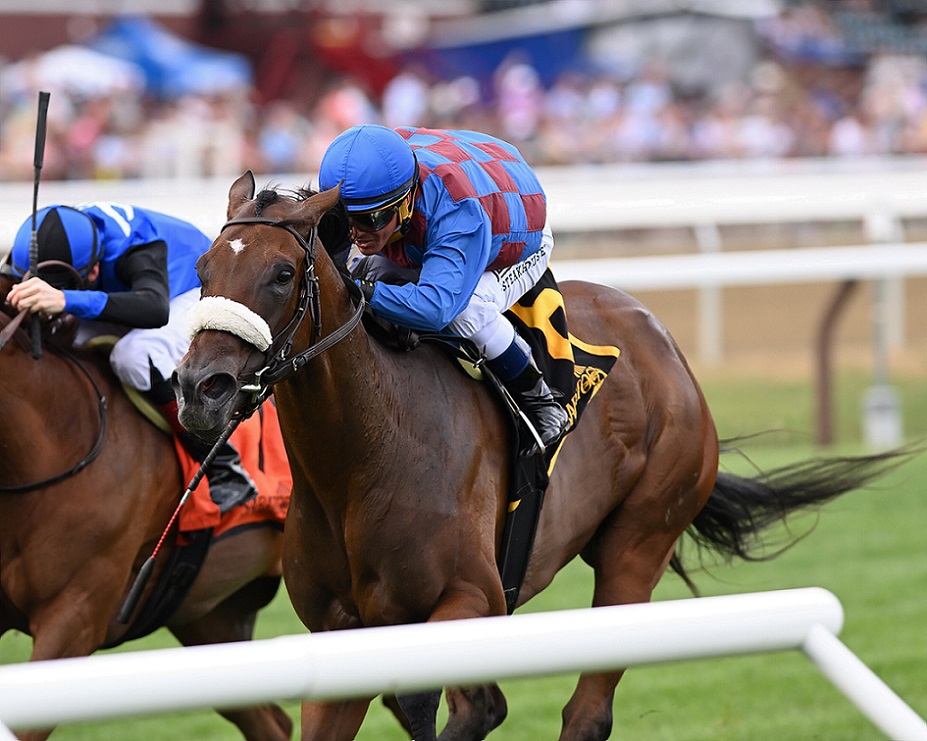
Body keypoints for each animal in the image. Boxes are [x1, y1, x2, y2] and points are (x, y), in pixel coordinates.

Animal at [173, 171, 909, 741]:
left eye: (281, 273)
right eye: (203, 271)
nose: (200, 389)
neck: (362, 456)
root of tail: (659, 336)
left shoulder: (469, 600)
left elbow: (455, 704)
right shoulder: (338, 632)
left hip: (637, 545)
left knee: (587, 709)